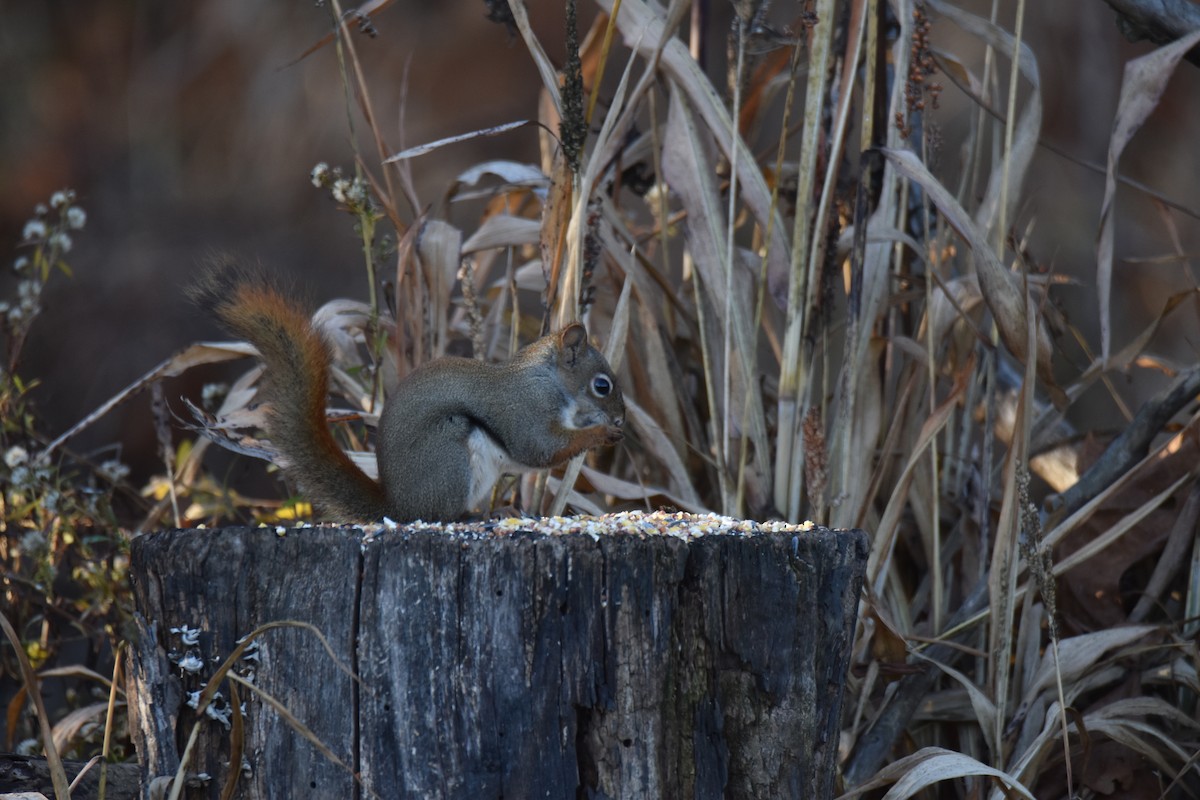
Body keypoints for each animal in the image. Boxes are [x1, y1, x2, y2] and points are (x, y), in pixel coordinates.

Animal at [189, 264, 625, 522]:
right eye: (602, 386)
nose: (622, 417)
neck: (551, 381)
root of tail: (397, 507)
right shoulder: (525, 409)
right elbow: (539, 448)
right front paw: (601, 434)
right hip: (449, 454)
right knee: (440, 516)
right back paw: (480, 516)